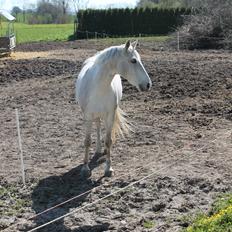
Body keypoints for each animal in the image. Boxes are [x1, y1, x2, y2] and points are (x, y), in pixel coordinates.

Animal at [75, 40, 151, 178]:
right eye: (133, 60)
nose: (148, 85)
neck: (98, 86)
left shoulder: (110, 114)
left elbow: (108, 140)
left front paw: (108, 169)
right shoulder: (87, 115)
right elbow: (87, 141)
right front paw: (85, 168)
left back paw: (103, 149)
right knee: (98, 126)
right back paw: (98, 149)